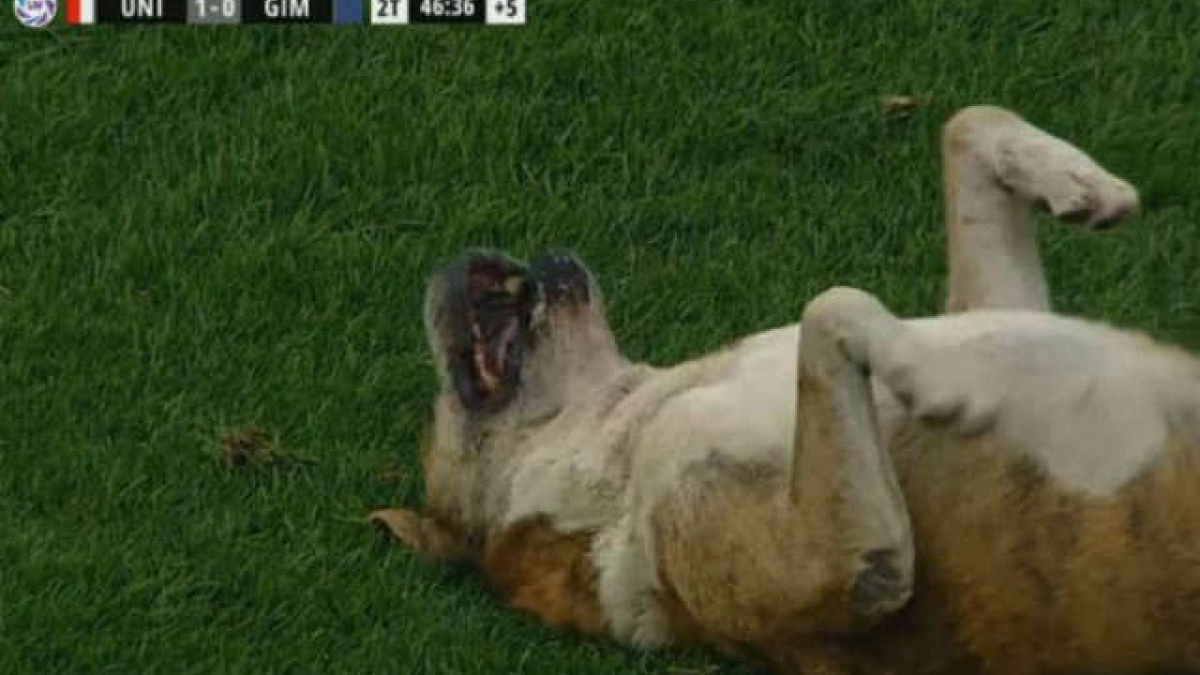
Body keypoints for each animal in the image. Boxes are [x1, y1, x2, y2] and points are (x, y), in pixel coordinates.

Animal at [372, 106, 1200, 672]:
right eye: (430, 436)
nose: (444, 265)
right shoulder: (851, 564)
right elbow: (832, 304)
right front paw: (933, 373)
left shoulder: (997, 306)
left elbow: (965, 123)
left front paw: (1077, 179)